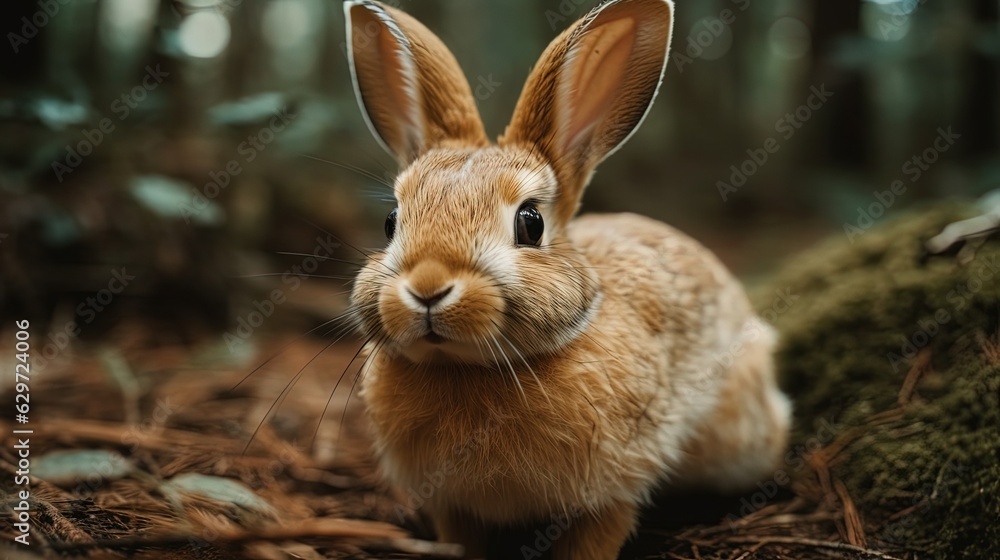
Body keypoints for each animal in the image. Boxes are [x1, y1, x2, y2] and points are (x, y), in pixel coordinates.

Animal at [344, 0, 792, 558]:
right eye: (390, 223)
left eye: (530, 223)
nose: (427, 287)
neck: (467, 367)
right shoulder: (451, 503)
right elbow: (461, 538)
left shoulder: (615, 486)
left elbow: (595, 538)